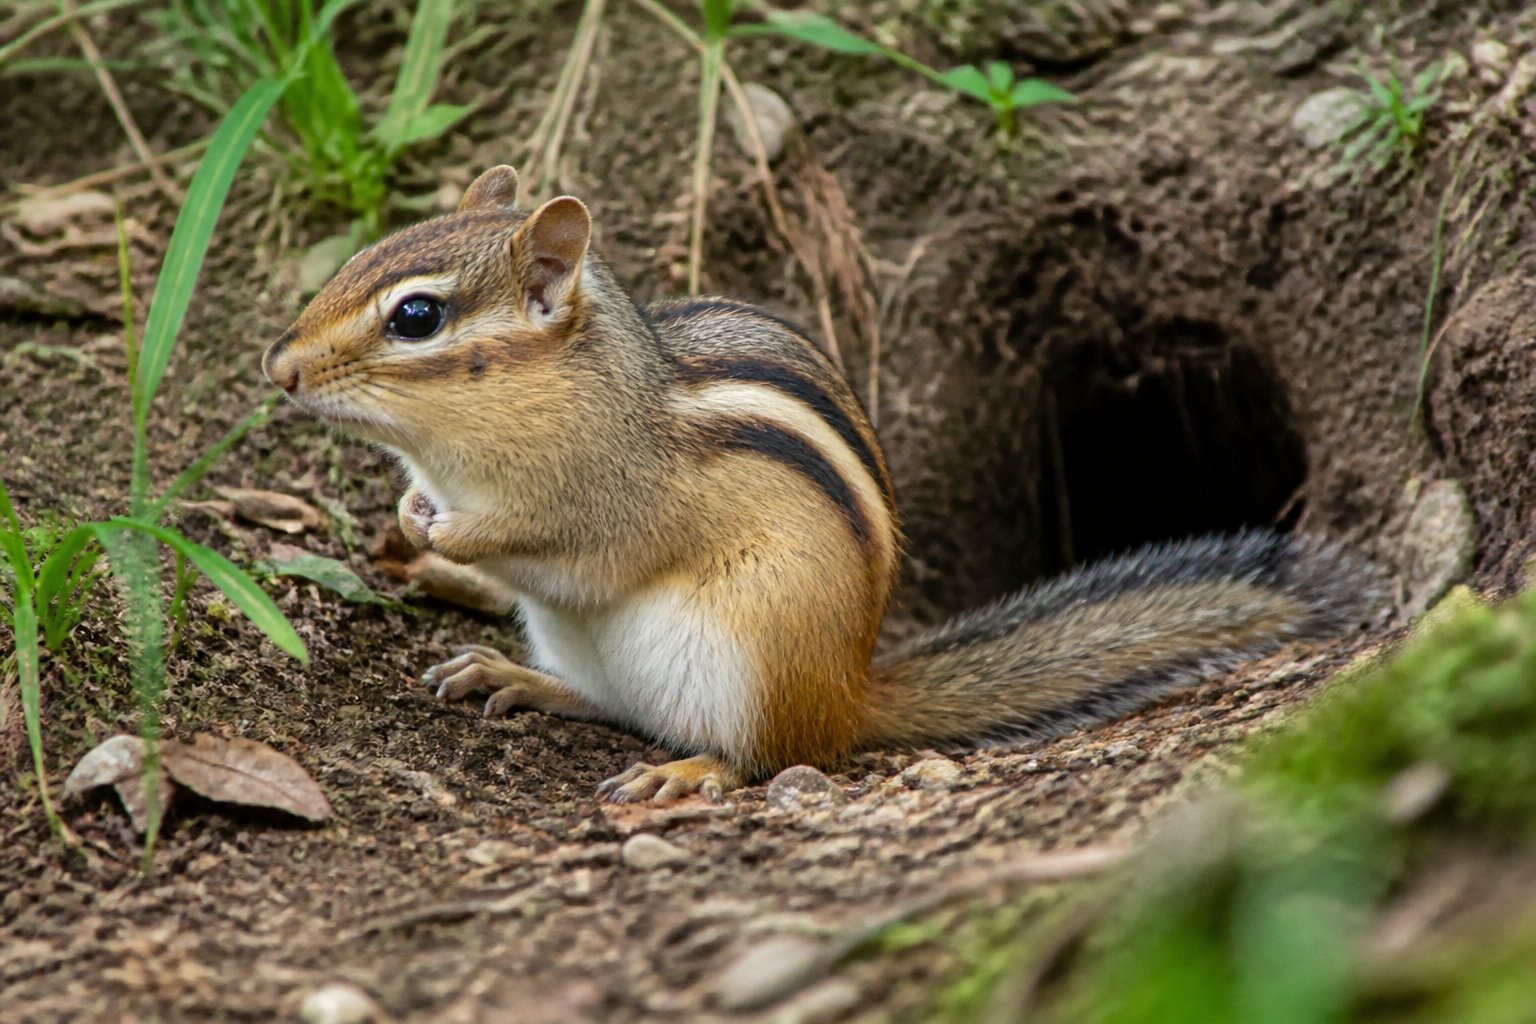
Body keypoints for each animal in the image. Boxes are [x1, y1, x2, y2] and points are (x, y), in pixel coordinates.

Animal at [263, 165, 1378, 803]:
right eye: (363, 256)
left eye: (416, 317)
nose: (280, 367)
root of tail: (849, 692)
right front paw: (409, 512)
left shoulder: (605, 500)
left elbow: (561, 540)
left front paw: (447, 535)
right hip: (593, 647)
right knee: (607, 701)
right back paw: (519, 678)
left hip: (750, 654)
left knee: (760, 755)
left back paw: (689, 770)